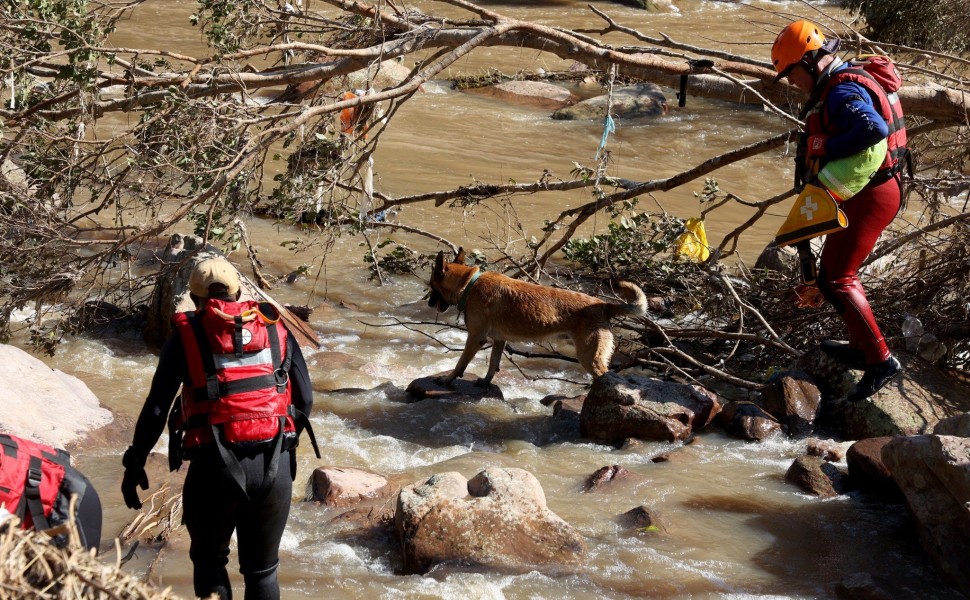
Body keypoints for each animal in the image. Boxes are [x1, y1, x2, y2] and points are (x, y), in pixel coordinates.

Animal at [430, 247, 644, 384]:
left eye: (431, 286)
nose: (430, 304)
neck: (469, 284)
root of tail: (604, 305)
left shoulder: (475, 339)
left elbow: (460, 363)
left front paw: (447, 379)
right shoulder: (499, 341)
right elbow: (493, 362)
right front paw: (485, 381)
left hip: (589, 357)